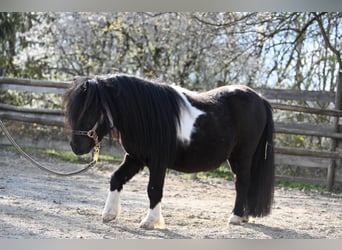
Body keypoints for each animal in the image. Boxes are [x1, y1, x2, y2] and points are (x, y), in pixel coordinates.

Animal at [64, 73, 276, 229]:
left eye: (89, 110)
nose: (76, 147)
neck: (146, 116)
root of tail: (260, 98)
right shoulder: (135, 158)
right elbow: (116, 178)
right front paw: (109, 214)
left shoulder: (158, 163)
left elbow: (154, 189)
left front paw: (150, 222)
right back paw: (244, 217)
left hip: (242, 155)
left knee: (242, 182)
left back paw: (235, 217)